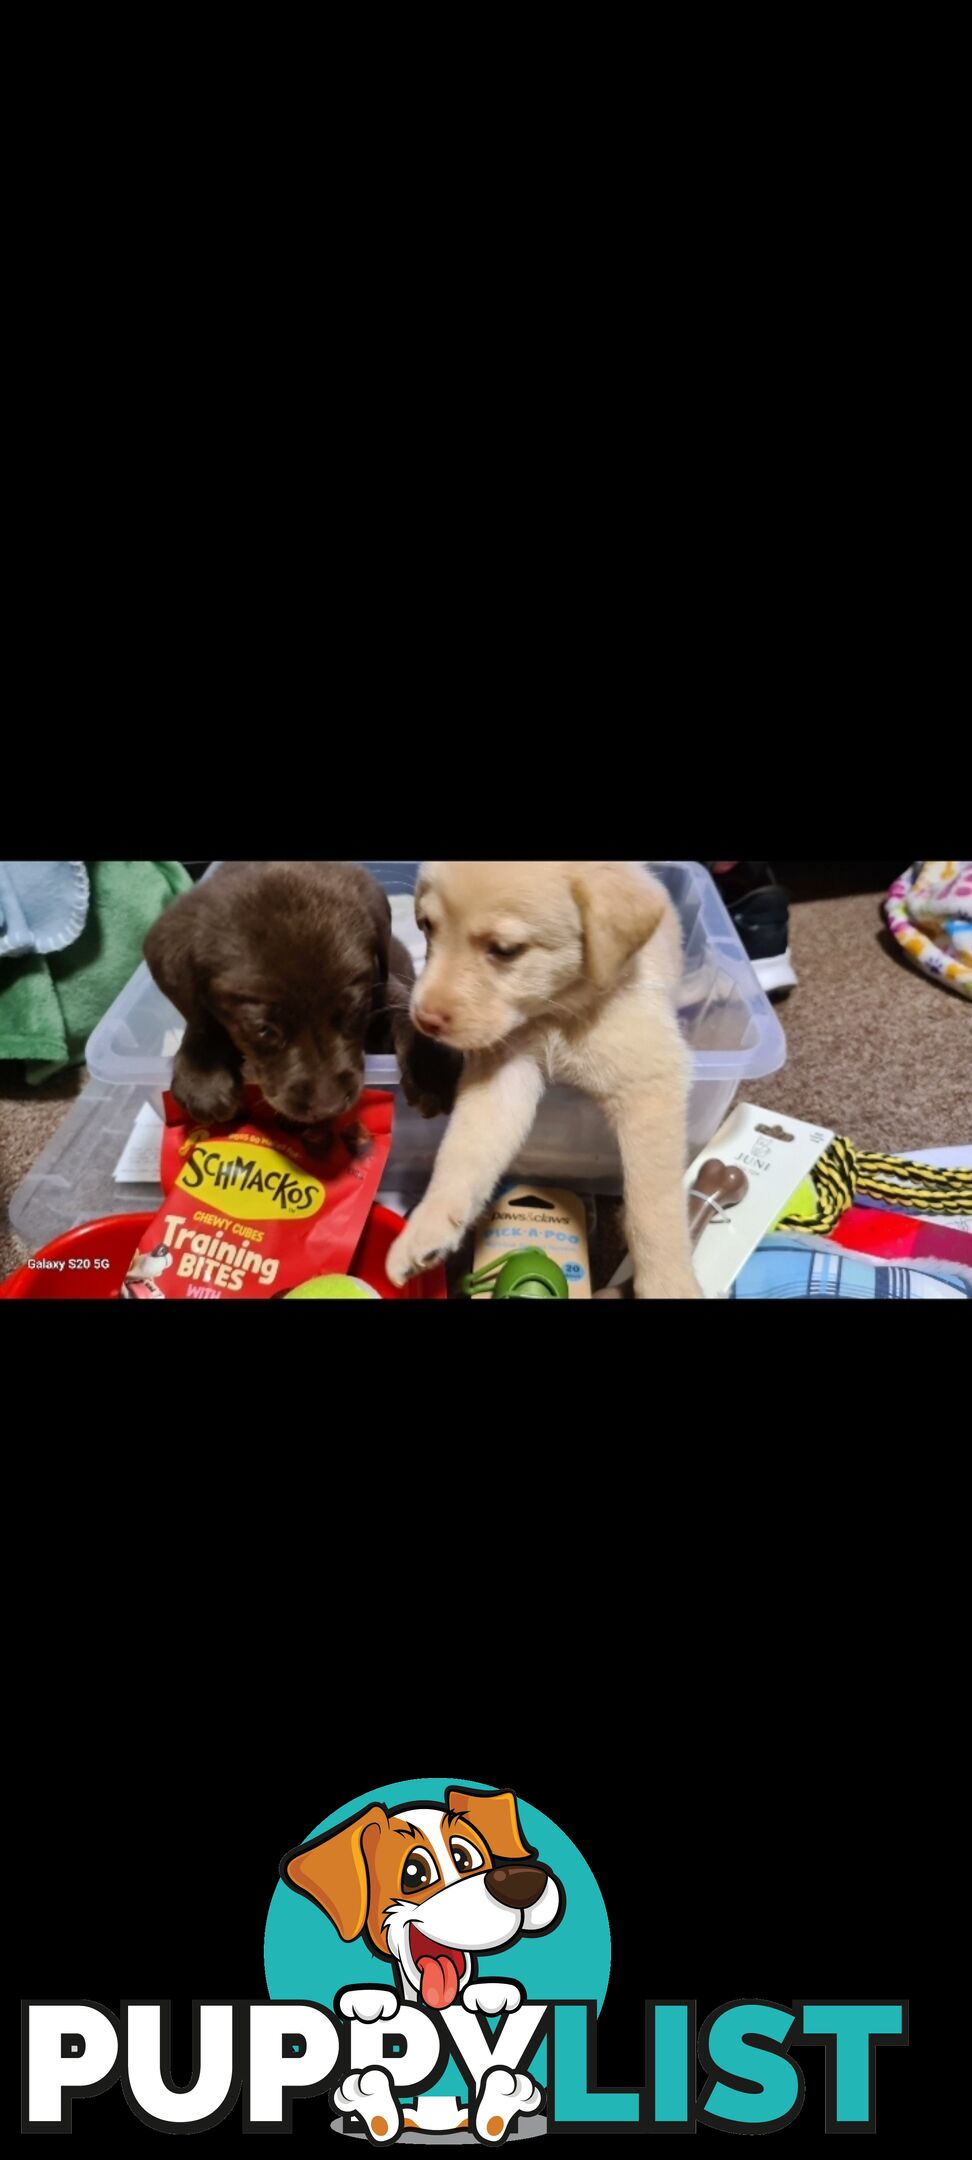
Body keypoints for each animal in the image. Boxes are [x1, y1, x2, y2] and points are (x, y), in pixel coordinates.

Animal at [384, 859, 699, 1296]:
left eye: (505, 950)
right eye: (426, 926)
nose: (423, 1020)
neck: (555, 1012)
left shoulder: (649, 1082)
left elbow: (653, 1205)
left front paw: (668, 1283)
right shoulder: (502, 1077)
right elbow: (462, 1153)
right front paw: (426, 1230)